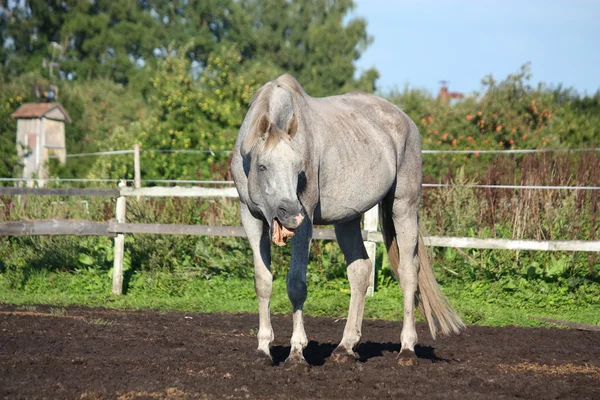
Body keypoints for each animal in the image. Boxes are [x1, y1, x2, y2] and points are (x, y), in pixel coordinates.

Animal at [231, 73, 464, 368]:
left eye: (298, 168)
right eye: (262, 166)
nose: (291, 214)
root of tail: (406, 120)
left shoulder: (305, 223)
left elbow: (296, 285)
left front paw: (297, 352)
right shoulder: (250, 218)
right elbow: (263, 283)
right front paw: (263, 350)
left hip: (404, 207)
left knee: (409, 273)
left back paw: (407, 349)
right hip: (348, 219)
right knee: (360, 271)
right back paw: (346, 347)